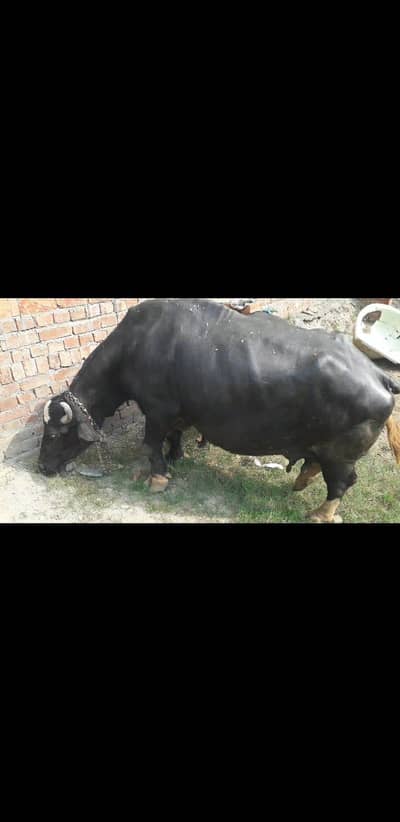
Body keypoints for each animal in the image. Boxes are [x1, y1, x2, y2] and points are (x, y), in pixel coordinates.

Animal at [38, 298, 400, 522]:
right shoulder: (177, 412)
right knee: (315, 465)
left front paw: (157, 476)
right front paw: (174, 457)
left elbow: (151, 443)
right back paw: (301, 481)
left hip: (341, 455)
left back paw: (319, 513)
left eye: (54, 434)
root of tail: (377, 375)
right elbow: (173, 436)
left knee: (342, 483)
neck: (138, 346)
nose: (42, 467)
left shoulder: (156, 410)